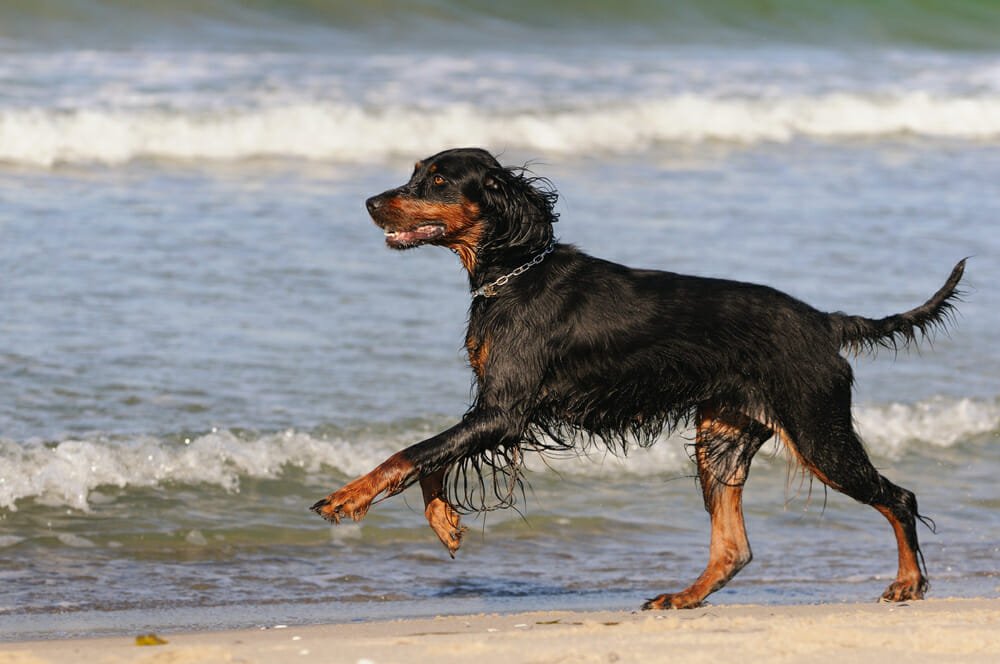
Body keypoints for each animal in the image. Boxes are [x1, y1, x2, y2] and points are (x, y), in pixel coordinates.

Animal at [314, 147, 968, 608]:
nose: (370, 202)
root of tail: (823, 321)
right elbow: (430, 460)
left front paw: (347, 497)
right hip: (722, 436)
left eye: (438, 181)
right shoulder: (495, 409)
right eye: (415, 173)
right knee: (735, 548)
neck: (515, 271)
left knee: (899, 498)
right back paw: (683, 597)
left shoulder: (504, 410)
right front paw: (446, 524)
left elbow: (410, 452)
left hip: (816, 430)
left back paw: (908, 583)